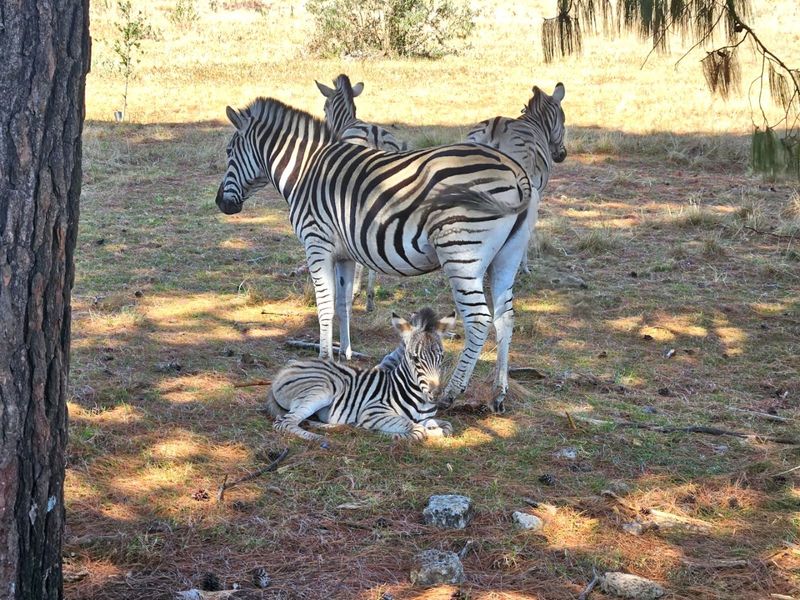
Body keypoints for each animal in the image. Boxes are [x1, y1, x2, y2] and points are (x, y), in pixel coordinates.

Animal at [265, 308, 456, 445]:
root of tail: (288, 368)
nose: (436, 394)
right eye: (415, 359)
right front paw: (382, 433)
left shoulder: (427, 419)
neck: (420, 400)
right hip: (322, 389)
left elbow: (446, 427)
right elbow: (417, 431)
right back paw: (320, 438)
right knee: (284, 422)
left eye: (441, 358)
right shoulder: (374, 412)